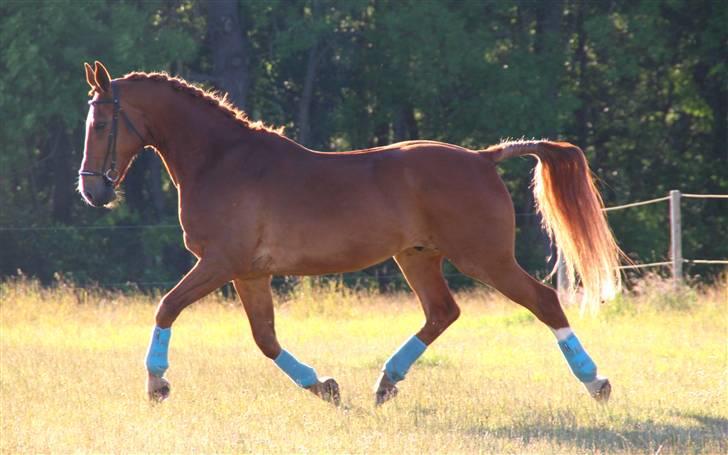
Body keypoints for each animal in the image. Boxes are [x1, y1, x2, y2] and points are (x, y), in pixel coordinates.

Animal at [82, 60, 624, 406]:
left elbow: (167, 307)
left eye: (102, 123)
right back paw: (385, 383)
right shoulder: (249, 274)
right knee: (442, 312)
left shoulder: (219, 264)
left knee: (544, 302)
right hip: (418, 256)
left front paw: (156, 386)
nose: (92, 190)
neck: (221, 161)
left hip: (484, 258)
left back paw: (596, 382)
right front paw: (323, 386)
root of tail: (482, 157)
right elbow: (266, 339)